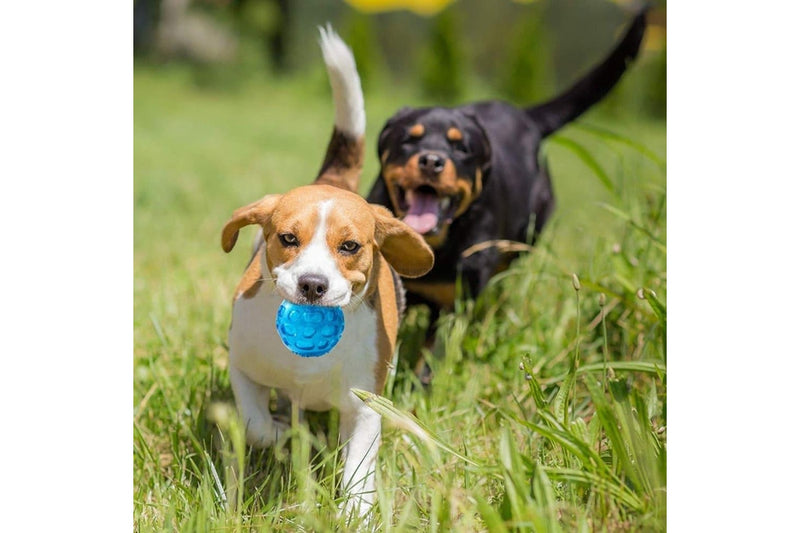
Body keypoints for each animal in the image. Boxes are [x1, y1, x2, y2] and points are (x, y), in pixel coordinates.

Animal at [219, 28, 434, 516]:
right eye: (287, 238)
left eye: (350, 246)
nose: (312, 285)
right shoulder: (242, 365)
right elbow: (256, 423)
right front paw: (281, 432)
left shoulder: (365, 404)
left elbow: (359, 461)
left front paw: (356, 510)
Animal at [368, 10, 648, 362]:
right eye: (409, 139)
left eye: (462, 148)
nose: (431, 160)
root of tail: (525, 117)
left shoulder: (454, 301)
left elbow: (432, 356)